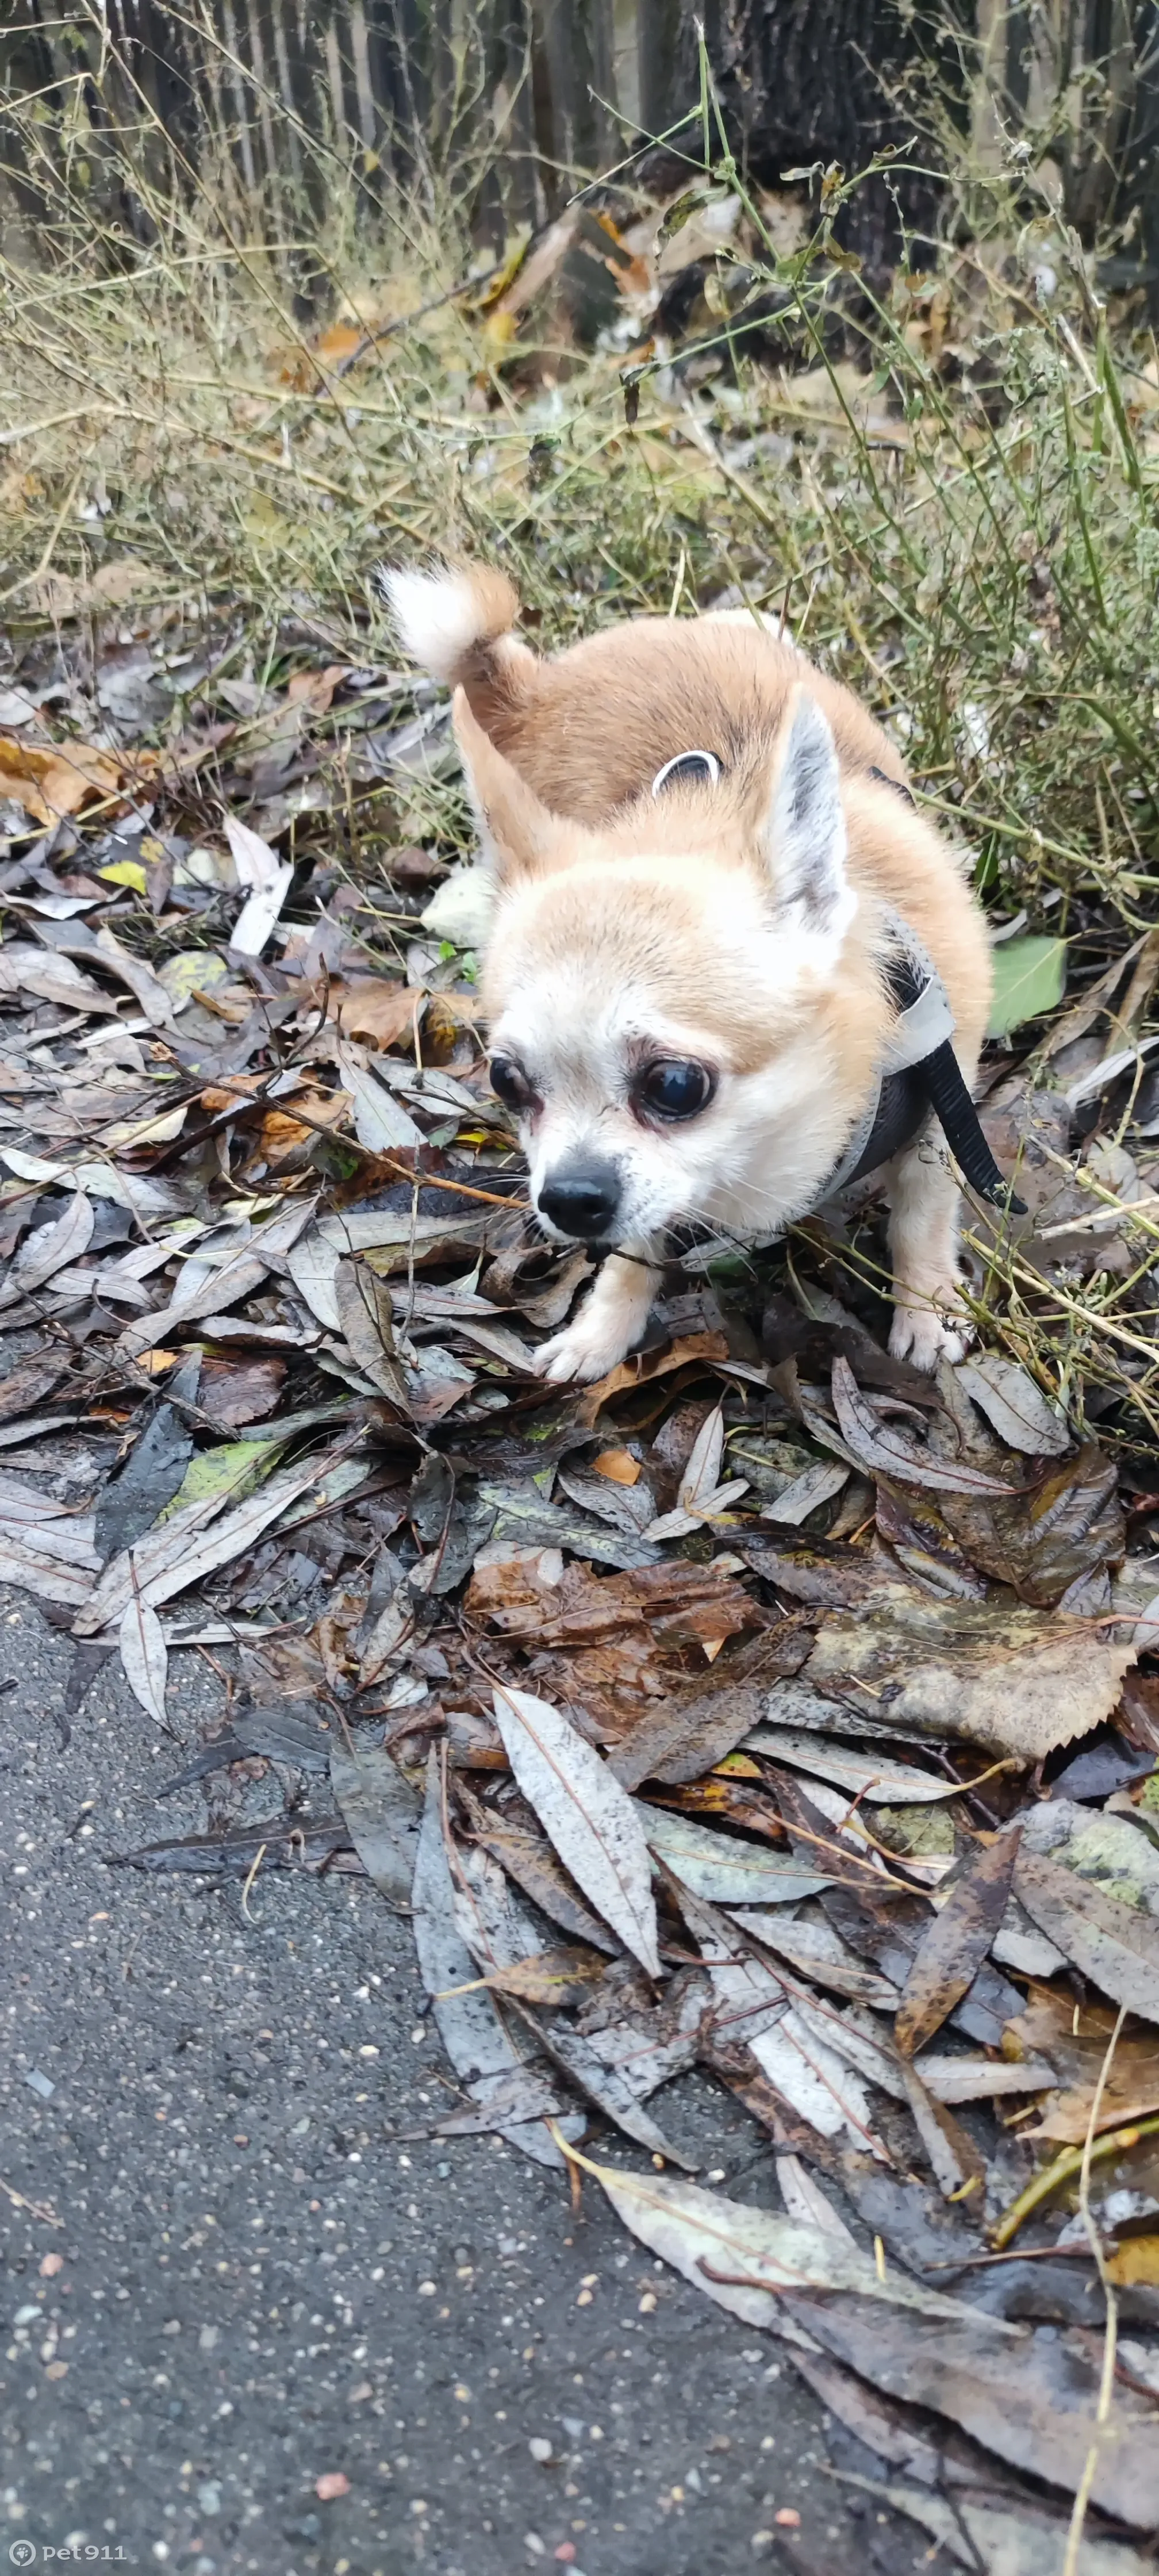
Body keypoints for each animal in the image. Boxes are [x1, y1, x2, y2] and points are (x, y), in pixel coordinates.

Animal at [383, 554, 989, 1381]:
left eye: (674, 1086)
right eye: (507, 1081)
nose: (569, 1196)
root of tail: (536, 681)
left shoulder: (943, 1096)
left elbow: (924, 1208)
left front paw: (927, 1304)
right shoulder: (647, 1191)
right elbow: (634, 1250)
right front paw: (602, 1330)